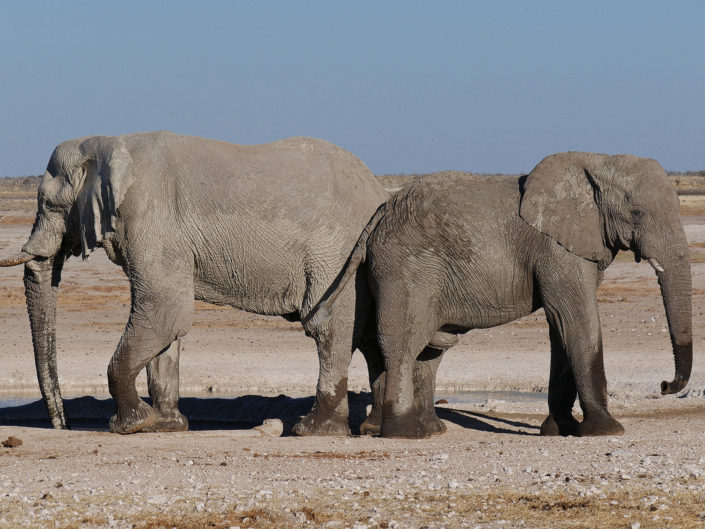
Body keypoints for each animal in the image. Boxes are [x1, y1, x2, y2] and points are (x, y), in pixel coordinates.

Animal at [0, 131, 390, 435]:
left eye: (49, 204)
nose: (63, 425)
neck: (109, 143)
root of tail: (378, 192)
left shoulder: (149, 219)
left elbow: (165, 312)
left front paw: (132, 424)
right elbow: (165, 329)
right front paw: (165, 426)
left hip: (336, 254)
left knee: (329, 329)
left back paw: (313, 429)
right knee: (371, 338)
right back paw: (371, 427)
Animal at [311, 152, 692, 438]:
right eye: (636, 213)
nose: (664, 385)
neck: (597, 162)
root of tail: (381, 211)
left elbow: (561, 328)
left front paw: (559, 430)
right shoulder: (556, 250)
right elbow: (576, 320)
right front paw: (606, 431)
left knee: (426, 349)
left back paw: (428, 430)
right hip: (405, 270)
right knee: (403, 342)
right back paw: (406, 433)